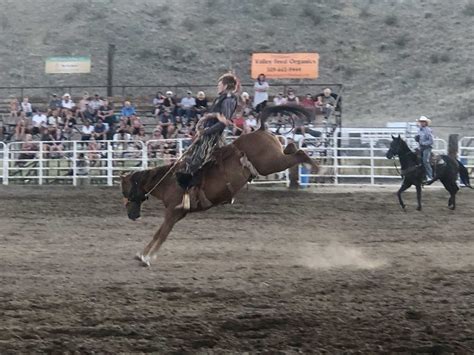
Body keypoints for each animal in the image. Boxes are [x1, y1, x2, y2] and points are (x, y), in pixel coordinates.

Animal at [120, 105, 316, 268]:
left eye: (125, 190)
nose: (131, 215)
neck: (169, 181)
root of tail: (260, 130)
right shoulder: (177, 214)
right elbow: (162, 233)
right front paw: (144, 255)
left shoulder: (172, 212)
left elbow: (160, 234)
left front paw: (145, 257)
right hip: (275, 158)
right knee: (292, 148)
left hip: (270, 163)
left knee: (298, 153)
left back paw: (315, 166)